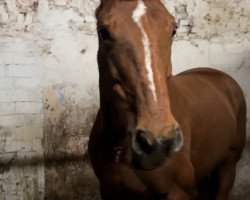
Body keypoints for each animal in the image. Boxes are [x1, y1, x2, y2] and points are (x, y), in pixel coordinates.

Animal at [88, 0, 246, 199]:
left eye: (174, 30)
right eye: (103, 31)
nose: (158, 141)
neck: (121, 149)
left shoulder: (178, 192)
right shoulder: (109, 190)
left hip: (228, 166)